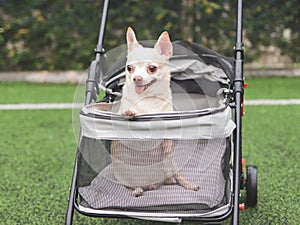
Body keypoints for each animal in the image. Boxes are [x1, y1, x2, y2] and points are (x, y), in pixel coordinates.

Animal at [110, 26, 199, 197]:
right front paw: (129, 113)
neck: (147, 99)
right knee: (132, 185)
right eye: (129, 68)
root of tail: (151, 185)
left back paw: (188, 184)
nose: (136, 78)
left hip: (172, 166)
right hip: (123, 176)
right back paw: (138, 189)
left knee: (175, 176)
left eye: (151, 68)